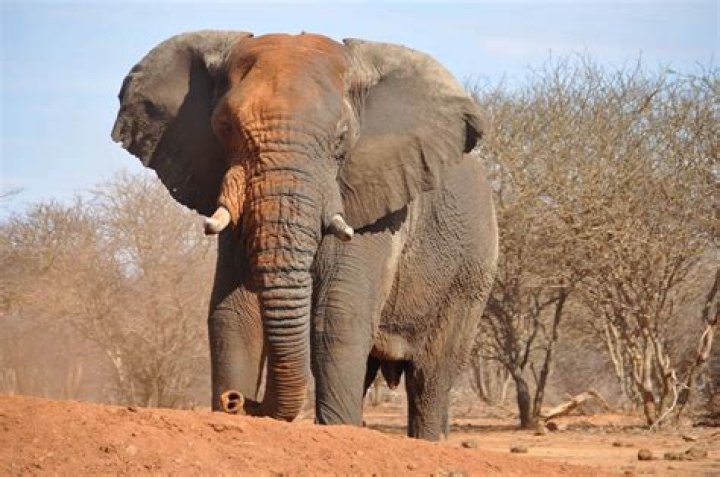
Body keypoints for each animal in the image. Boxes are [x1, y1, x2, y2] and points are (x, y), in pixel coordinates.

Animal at [111, 30, 498, 441]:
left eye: (341, 138)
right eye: (225, 127)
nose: (237, 400)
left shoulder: (378, 200)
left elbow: (337, 317)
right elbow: (234, 314)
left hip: (471, 275)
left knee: (430, 377)